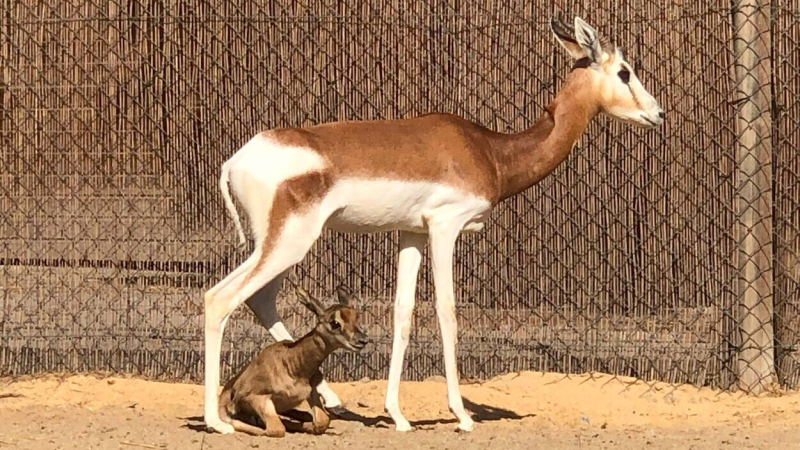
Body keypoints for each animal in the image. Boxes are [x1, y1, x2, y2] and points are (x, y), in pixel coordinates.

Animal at [219, 288, 368, 436]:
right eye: (335, 322)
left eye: (356, 317)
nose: (363, 340)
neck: (293, 365)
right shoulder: (257, 397)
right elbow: (276, 429)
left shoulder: (312, 392)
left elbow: (322, 421)